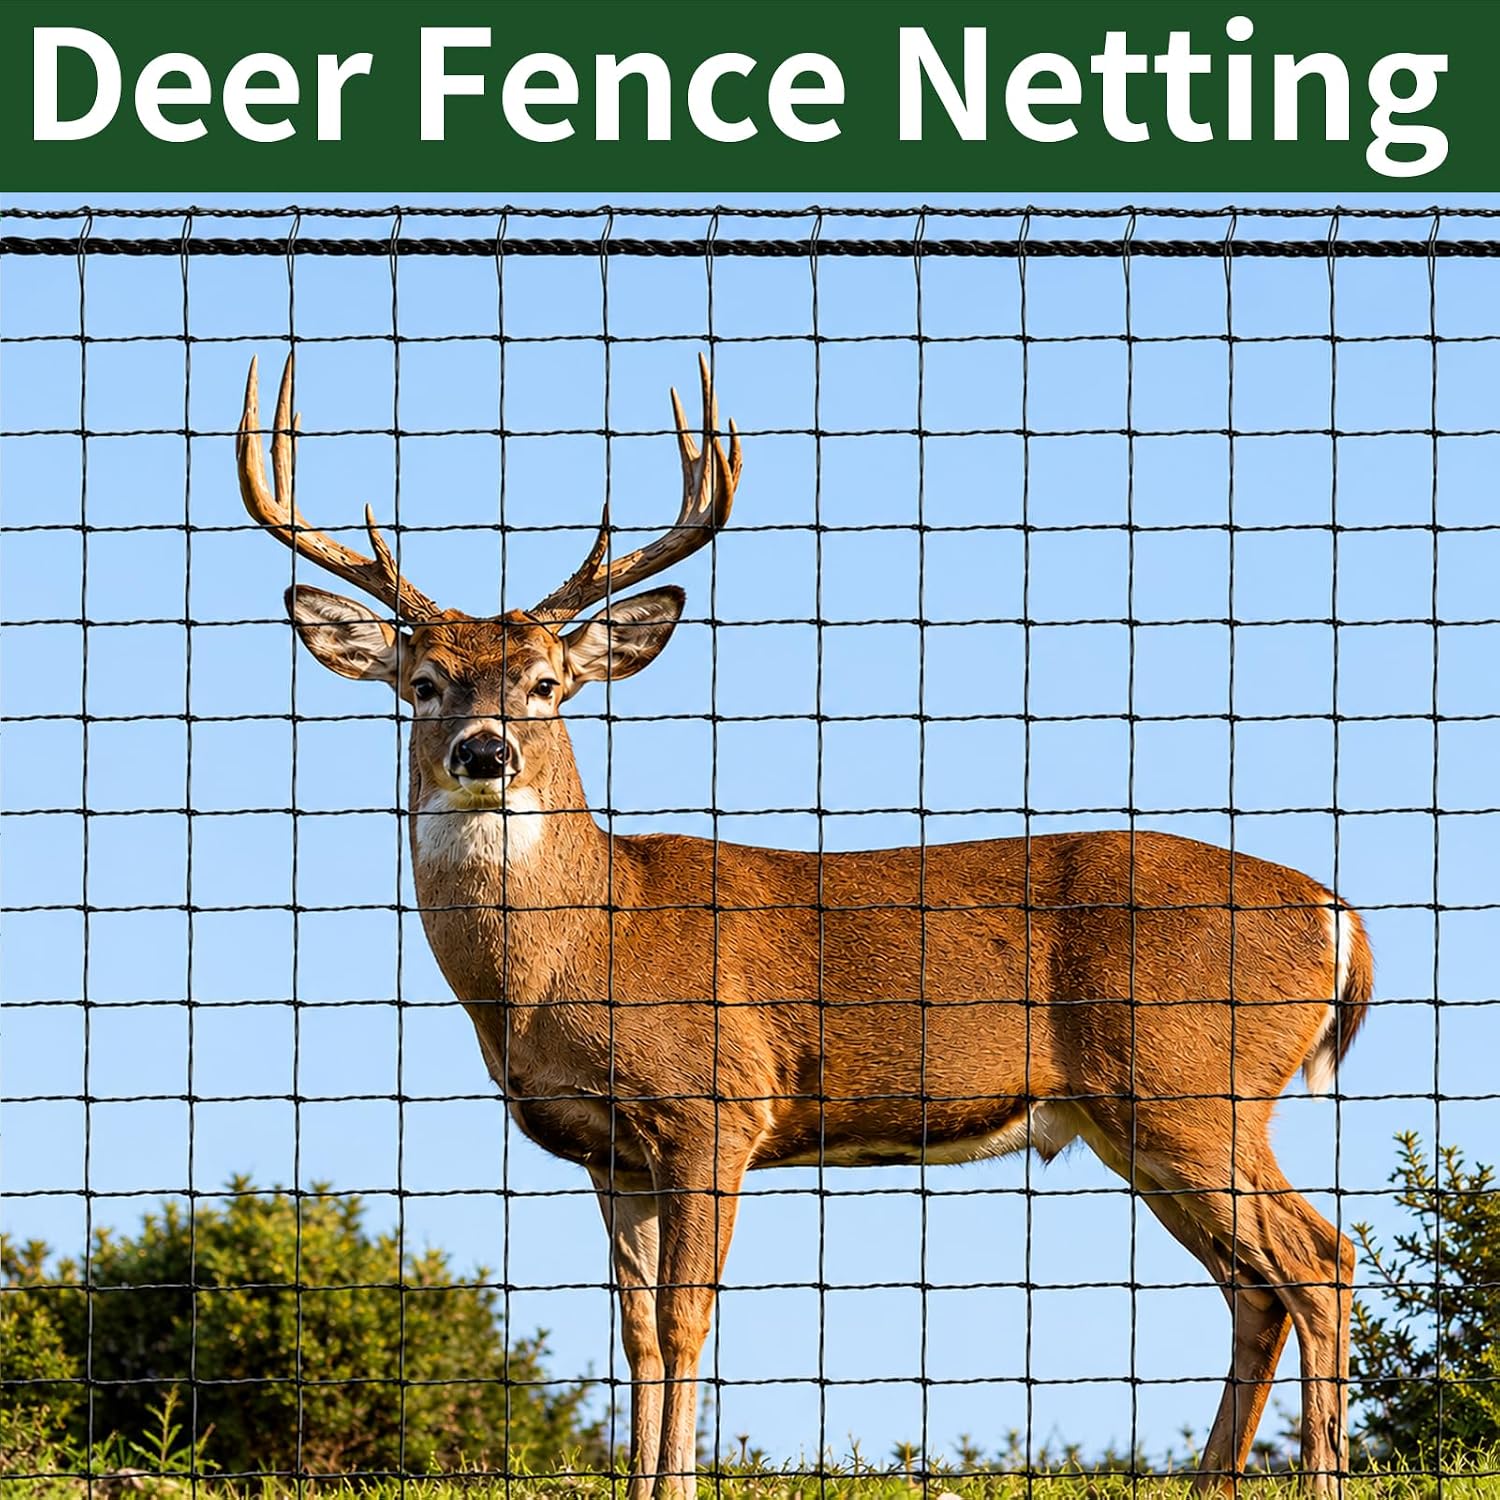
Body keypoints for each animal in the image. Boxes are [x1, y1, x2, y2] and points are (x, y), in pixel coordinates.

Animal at [237, 352, 1371, 1497]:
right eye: (424, 684)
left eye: (547, 685)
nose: (485, 753)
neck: (577, 951)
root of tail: (1338, 916)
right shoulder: (612, 1153)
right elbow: (634, 1333)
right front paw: (642, 1480)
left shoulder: (714, 1105)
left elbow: (686, 1320)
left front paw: (678, 1485)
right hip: (1141, 1116)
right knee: (1256, 1286)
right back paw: (1213, 1478)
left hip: (1191, 1086)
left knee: (1318, 1258)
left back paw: (1318, 1471)